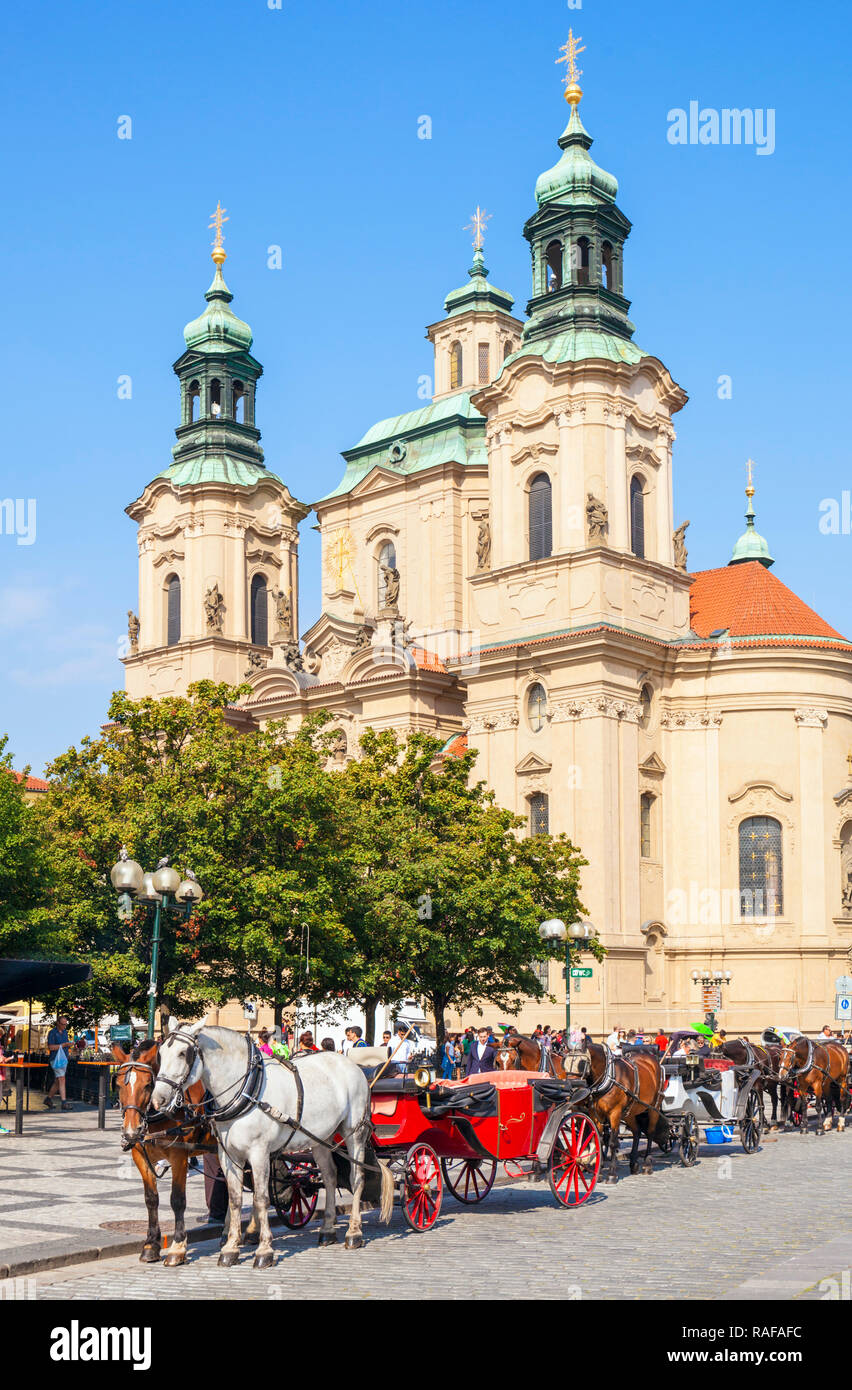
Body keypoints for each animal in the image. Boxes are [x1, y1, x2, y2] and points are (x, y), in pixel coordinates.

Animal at [111, 1039, 218, 1267]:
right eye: (118, 1085)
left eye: (147, 1084)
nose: (131, 1131)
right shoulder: (140, 1157)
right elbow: (151, 1199)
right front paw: (151, 1245)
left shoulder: (179, 1157)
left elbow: (177, 1199)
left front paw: (178, 1248)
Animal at [149, 1017, 391, 1267]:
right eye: (161, 1054)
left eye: (183, 1053)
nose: (158, 1100)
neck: (246, 1090)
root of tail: (353, 1066)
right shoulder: (229, 1155)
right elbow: (235, 1199)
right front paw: (230, 1248)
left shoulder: (259, 1152)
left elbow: (261, 1198)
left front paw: (264, 1250)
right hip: (321, 1138)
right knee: (330, 1176)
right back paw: (327, 1230)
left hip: (354, 1132)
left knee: (357, 1177)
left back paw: (354, 1232)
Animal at [567, 1039, 667, 1178]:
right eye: (564, 1064)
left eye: (582, 1064)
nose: (573, 1091)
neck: (608, 1076)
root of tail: (651, 1059)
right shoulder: (596, 1114)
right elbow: (599, 1140)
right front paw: (599, 1171)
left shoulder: (615, 1113)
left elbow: (613, 1142)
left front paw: (611, 1174)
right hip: (631, 1112)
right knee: (637, 1131)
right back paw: (633, 1163)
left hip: (654, 1107)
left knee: (650, 1132)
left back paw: (647, 1164)